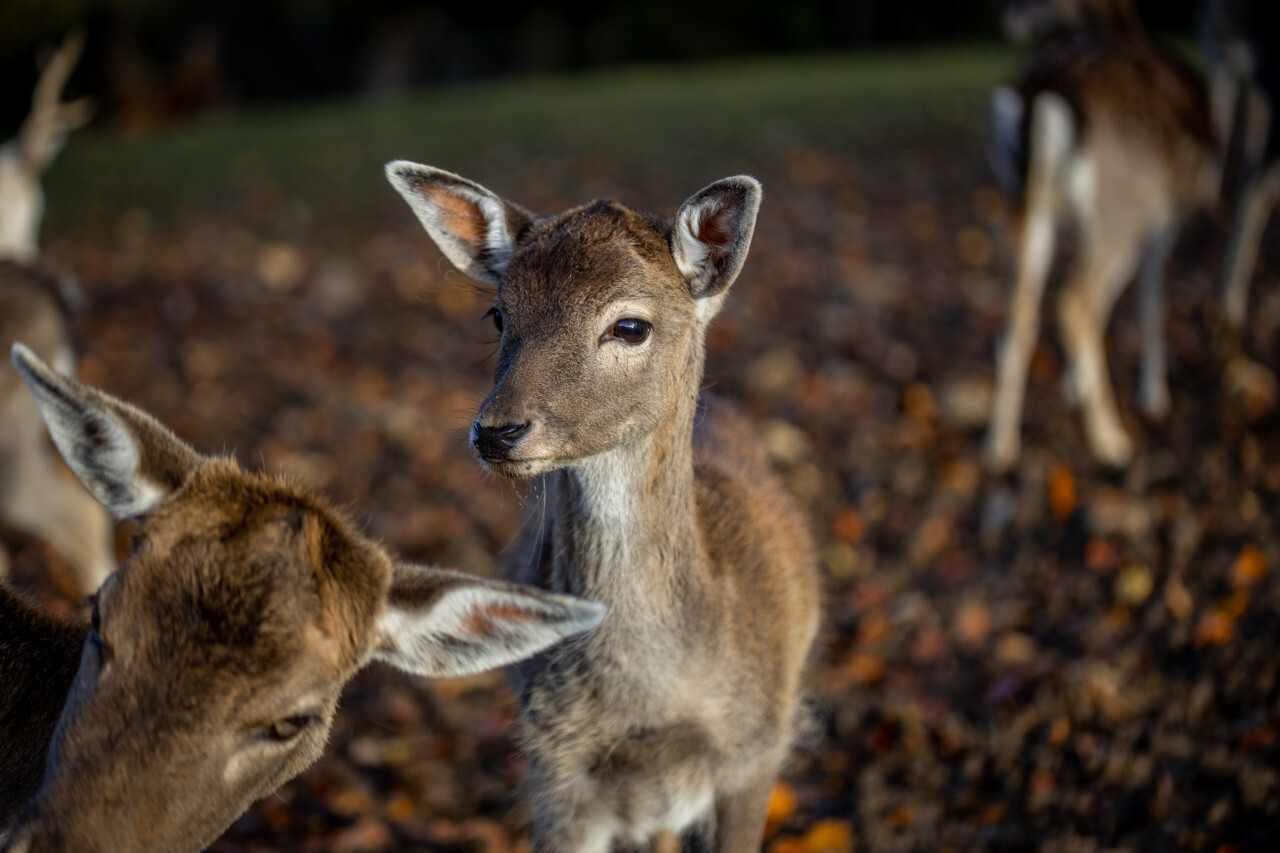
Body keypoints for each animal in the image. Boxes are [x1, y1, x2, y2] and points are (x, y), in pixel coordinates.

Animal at [384, 161, 819, 850]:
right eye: (497, 315)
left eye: (630, 325)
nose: (497, 432)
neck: (653, 699)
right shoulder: (555, 769)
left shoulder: (758, 745)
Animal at [977, 0, 1218, 468]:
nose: (1007, 16)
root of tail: (1044, 95)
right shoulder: (1167, 216)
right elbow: (1151, 294)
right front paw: (1153, 395)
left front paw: (1074, 387)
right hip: (1122, 211)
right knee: (1074, 302)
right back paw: (1112, 439)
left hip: (1023, 205)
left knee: (1020, 313)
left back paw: (999, 445)